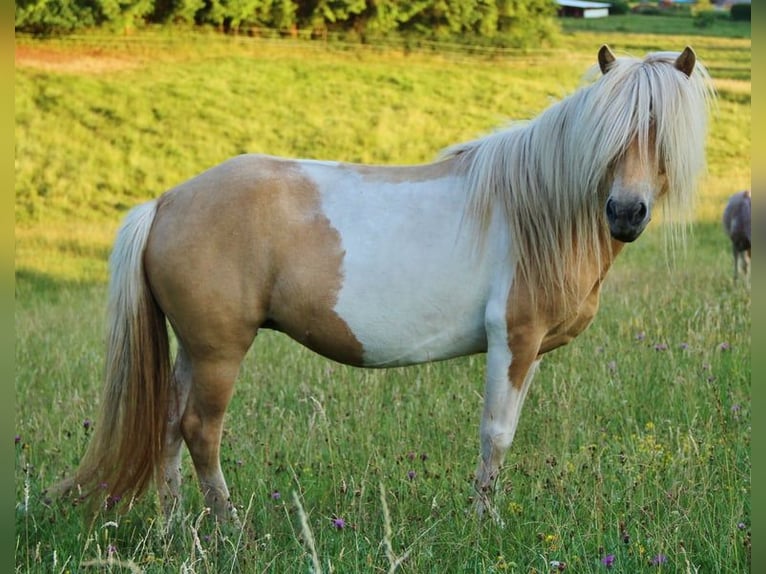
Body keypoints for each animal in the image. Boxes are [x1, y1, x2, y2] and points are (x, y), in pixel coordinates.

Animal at [55, 45, 715, 523]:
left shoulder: (527, 353)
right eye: (609, 131)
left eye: (662, 132)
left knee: (168, 426)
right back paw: (227, 528)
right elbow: (495, 435)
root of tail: (165, 203)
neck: (536, 211)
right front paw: (484, 522)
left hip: (194, 349)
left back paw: (175, 529)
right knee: (199, 430)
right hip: (219, 351)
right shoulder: (514, 341)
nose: (625, 212)